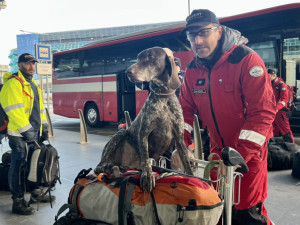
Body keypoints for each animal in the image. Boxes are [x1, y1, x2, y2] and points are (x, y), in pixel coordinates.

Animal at [96, 46, 195, 191]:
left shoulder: (179, 136)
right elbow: (146, 159)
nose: (128, 72)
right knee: (99, 166)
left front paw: (191, 175)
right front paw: (147, 176)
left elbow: (186, 161)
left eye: (150, 57)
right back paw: (107, 166)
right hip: (120, 134)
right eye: (138, 58)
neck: (163, 96)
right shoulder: (144, 133)